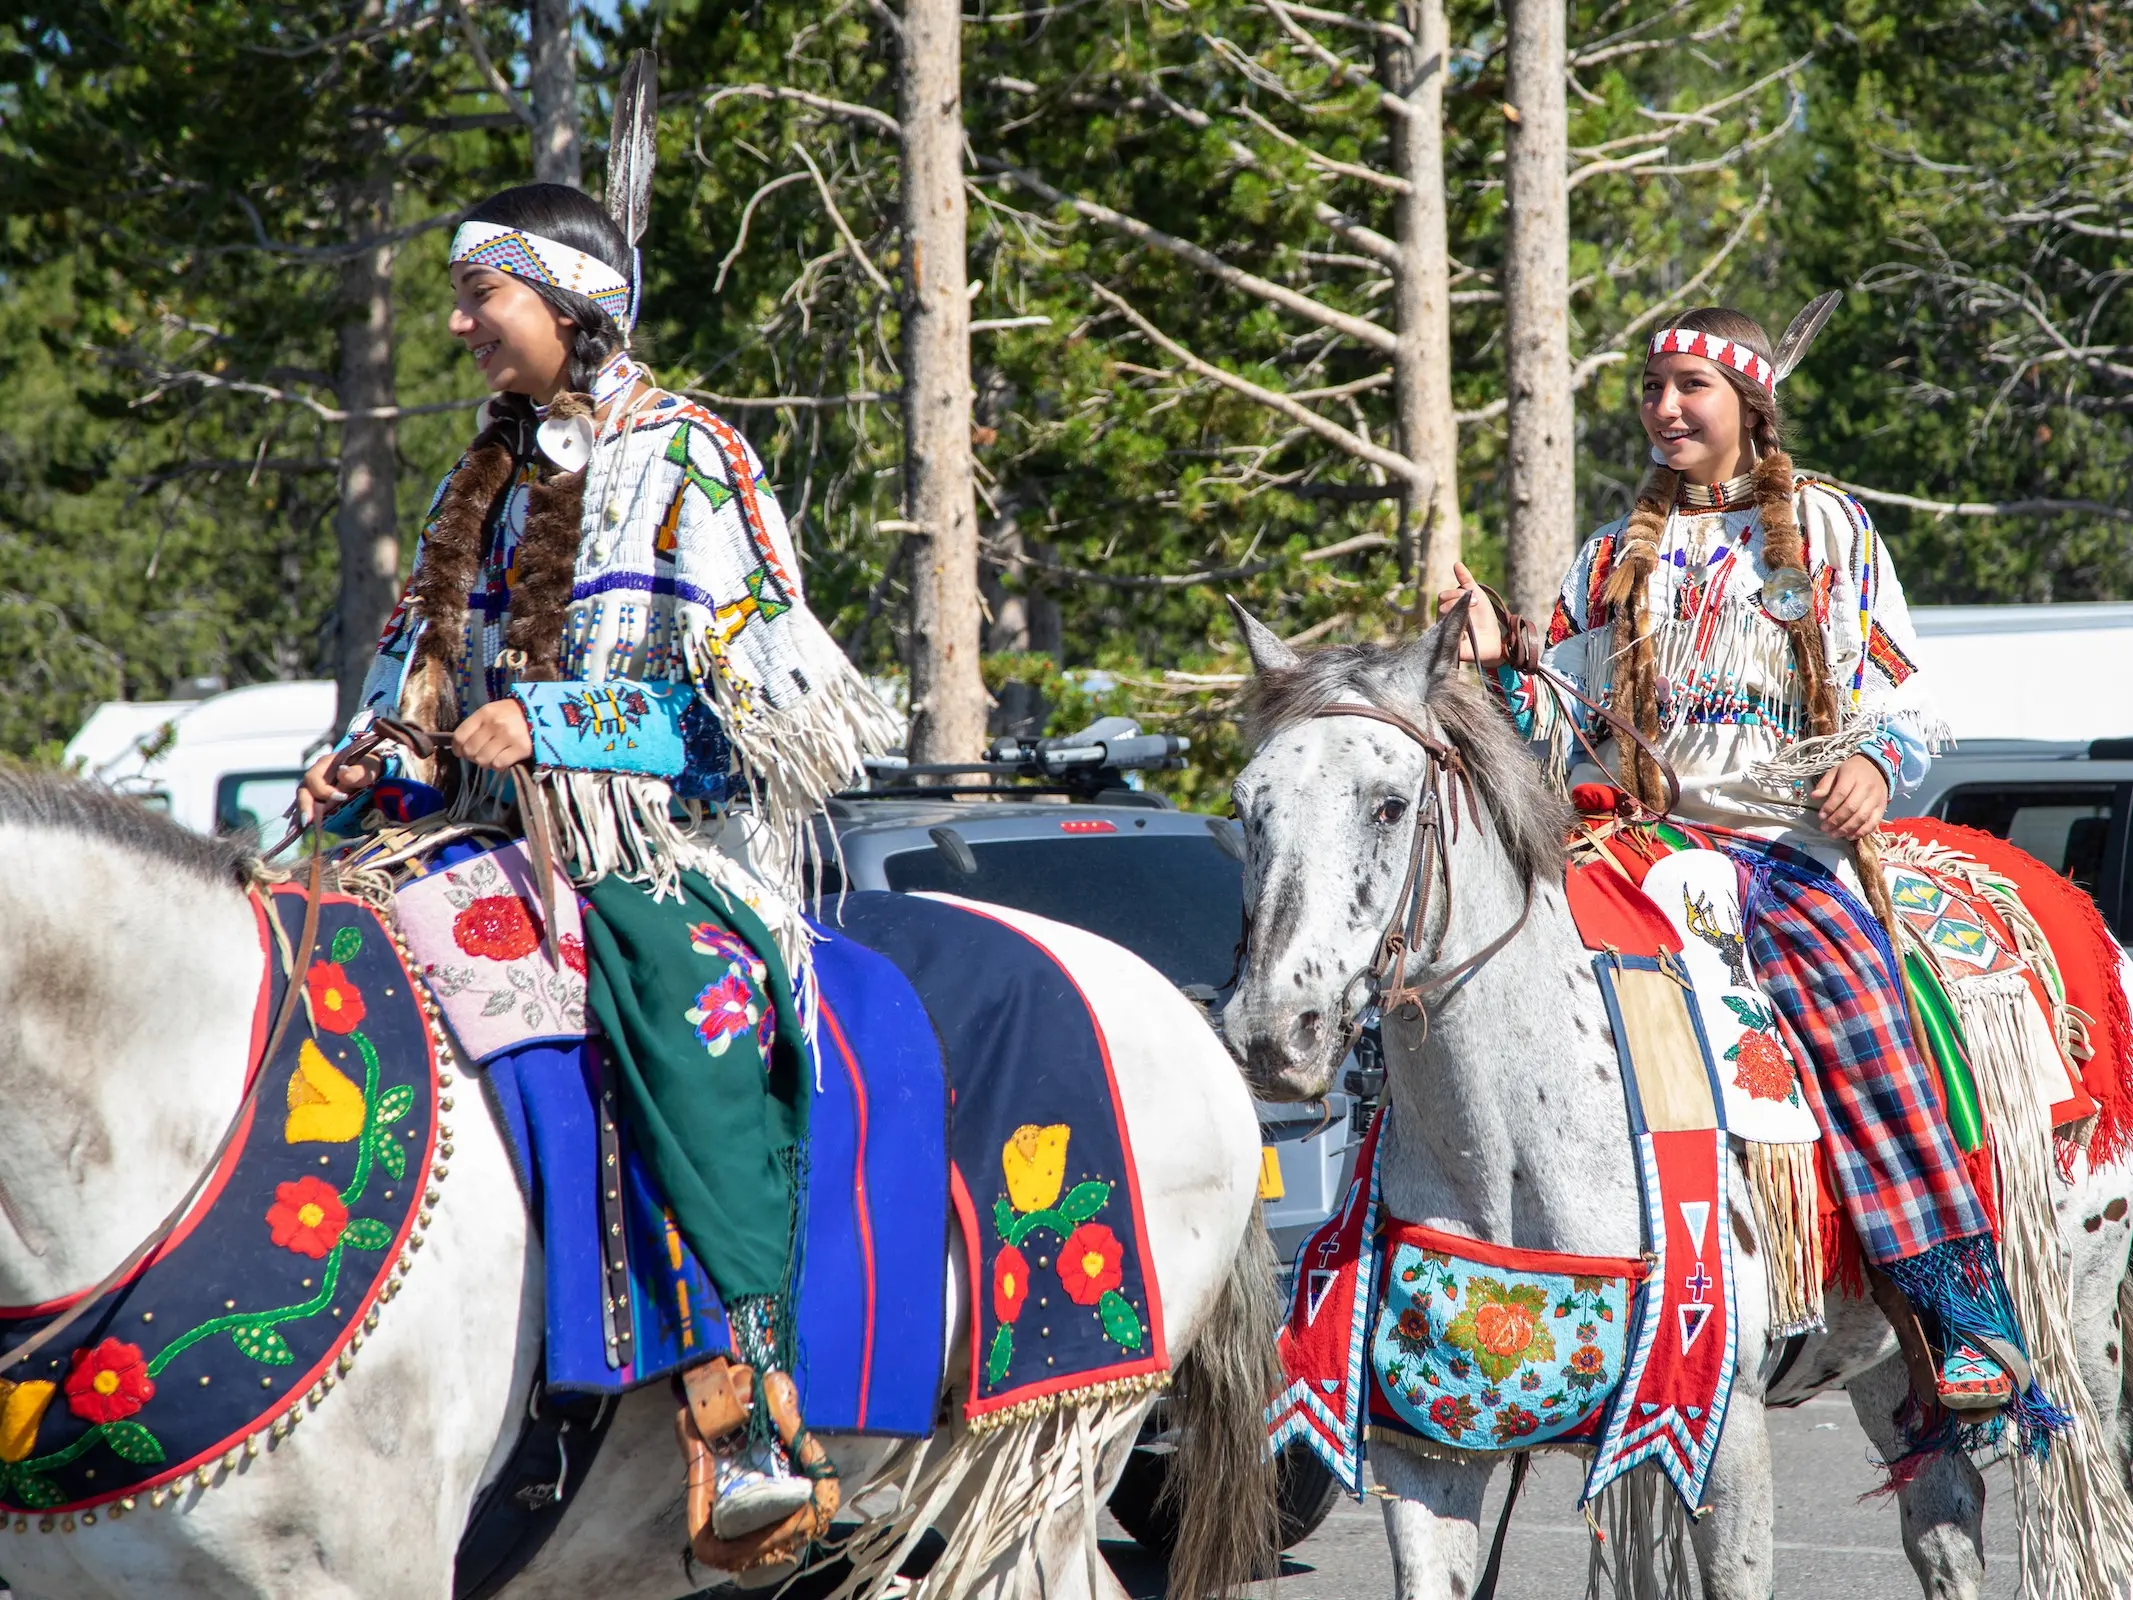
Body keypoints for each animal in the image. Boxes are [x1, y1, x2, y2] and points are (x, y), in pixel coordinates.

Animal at [1228, 601, 2133, 1600]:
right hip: (1891, 1358)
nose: (1272, 1033)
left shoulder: (1721, 1426)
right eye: (1246, 807)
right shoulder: (1425, 1450)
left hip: (2079, 1327)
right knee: (1943, 1519)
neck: (1512, 1147)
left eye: (1388, 805)